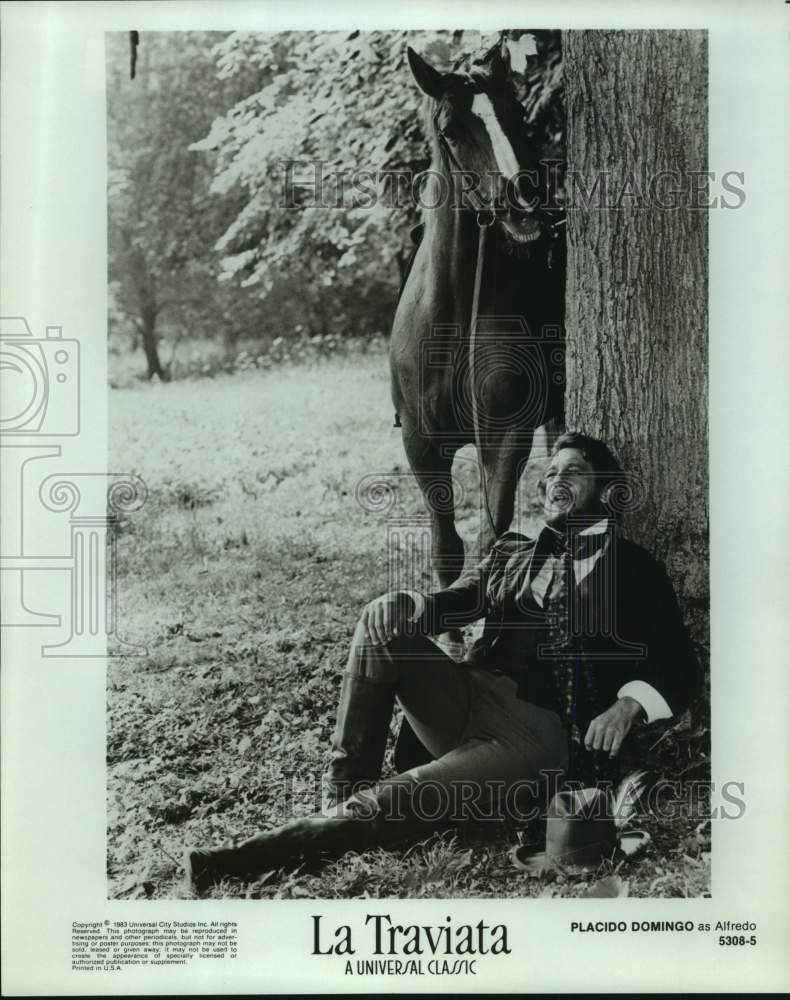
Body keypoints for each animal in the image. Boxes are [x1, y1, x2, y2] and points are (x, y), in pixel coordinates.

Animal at [392, 43, 568, 636]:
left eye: (517, 115)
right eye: (451, 128)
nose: (524, 201)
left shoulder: (504, 435)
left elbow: (495, 542)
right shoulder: (421, 444)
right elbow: (447, 549)